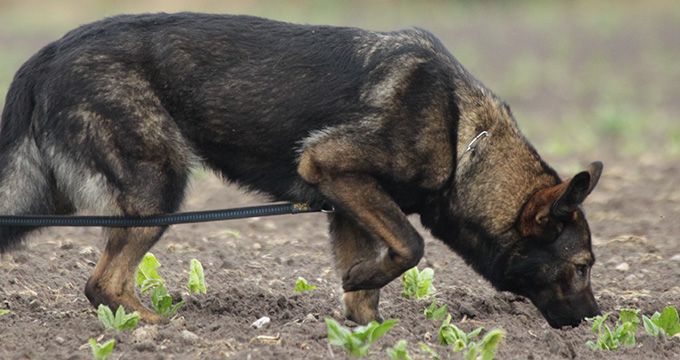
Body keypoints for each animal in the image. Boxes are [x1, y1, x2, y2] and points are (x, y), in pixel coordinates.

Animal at [0, 13, 600, 330]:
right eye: (583, 266)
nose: (594, 321)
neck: (463, 139)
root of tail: (48, 53)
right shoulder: (332, 166)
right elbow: (410, 246)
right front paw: (359, 283)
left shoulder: (347, 204)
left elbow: (371, 291)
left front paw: (366, 329)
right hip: (155, 191)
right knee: (102, 283)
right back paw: (163, 330)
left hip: (57, 199)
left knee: (97, 278)